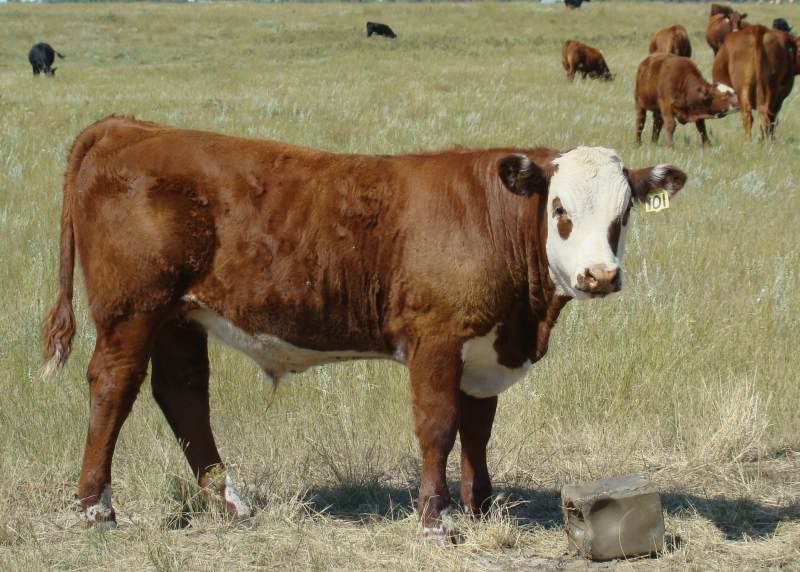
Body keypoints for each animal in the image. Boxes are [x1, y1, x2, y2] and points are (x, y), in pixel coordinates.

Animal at [42, 115, 687, 541]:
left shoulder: (484, 349)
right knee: (113, 387)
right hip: (133, 309)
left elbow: (478, 432)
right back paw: (96, 507)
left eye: (624, 213)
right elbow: (438, 427)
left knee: (182, 396)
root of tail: (132, 125)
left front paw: (481, 508)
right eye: (559, 210)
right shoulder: (435, 339)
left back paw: (229, 503)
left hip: (181, 315)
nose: (600, 275)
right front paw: (435, 519)